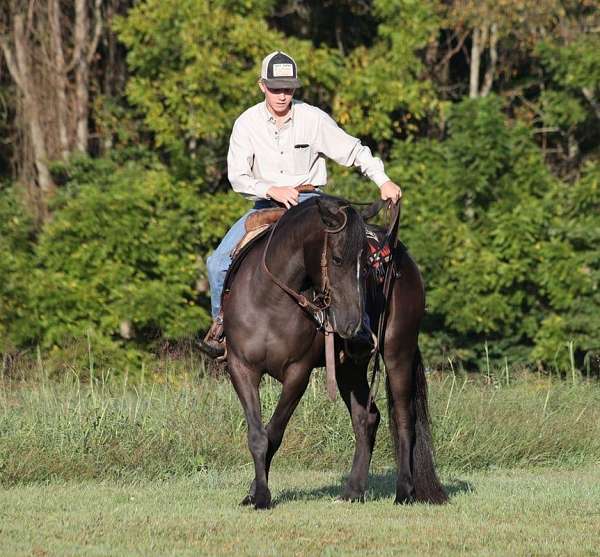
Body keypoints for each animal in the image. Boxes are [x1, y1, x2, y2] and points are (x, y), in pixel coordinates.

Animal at [220, 194, 446, 508]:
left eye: (366, 265)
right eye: (337, 259)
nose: (353, 324)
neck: (270, 300)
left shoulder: (298, 373)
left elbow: (274, 433)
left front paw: (262, 496)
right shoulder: (241, 368)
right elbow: (258, 435)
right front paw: (254, 494)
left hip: (398, 352)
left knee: (403, 419)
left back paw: (404, 492)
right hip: (349, 367)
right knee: (367, 418)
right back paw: (353, 490)